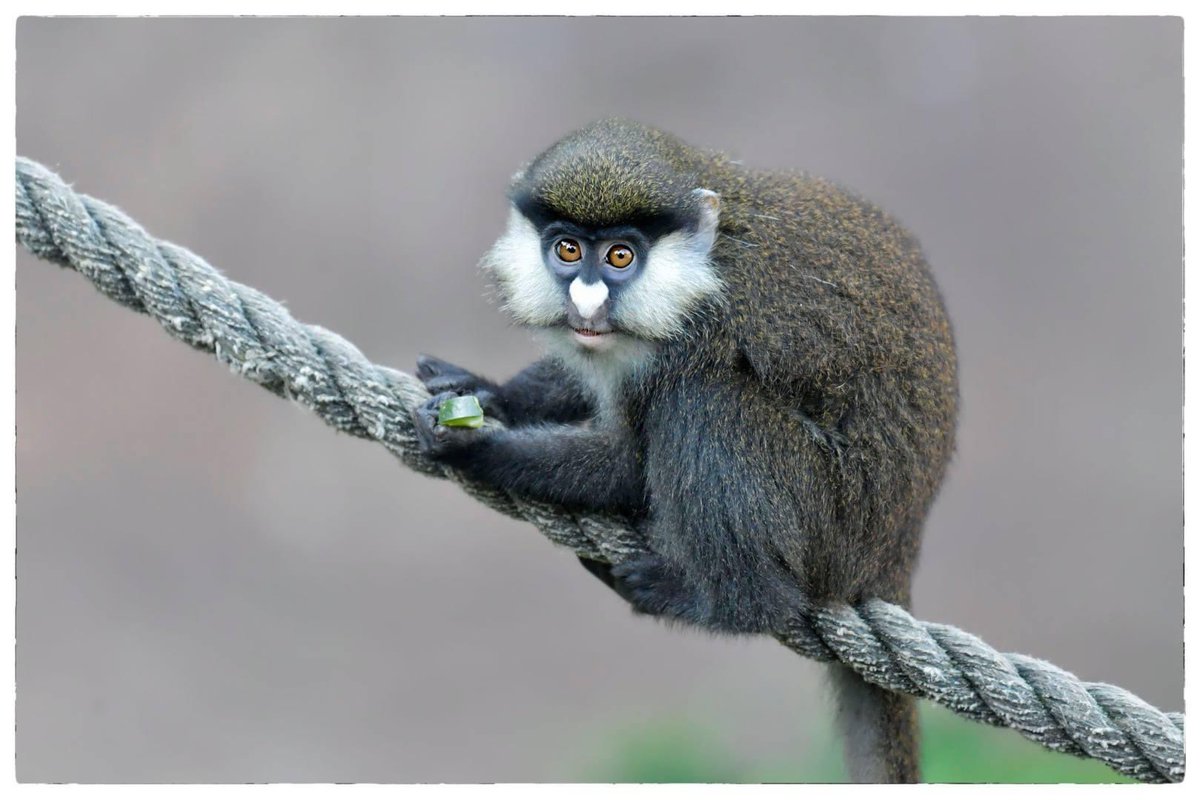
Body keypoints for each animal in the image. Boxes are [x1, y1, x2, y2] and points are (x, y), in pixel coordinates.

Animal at [410, 119, 958, 783]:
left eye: (620, 256)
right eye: (567, 250)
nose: (586, 302)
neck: (703, 262)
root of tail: (895, 555)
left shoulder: (700, 335)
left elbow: (627, 466)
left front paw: (474, 443)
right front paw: (490, 392)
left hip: (830, 524)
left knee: (704, 402)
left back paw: (725, 602)